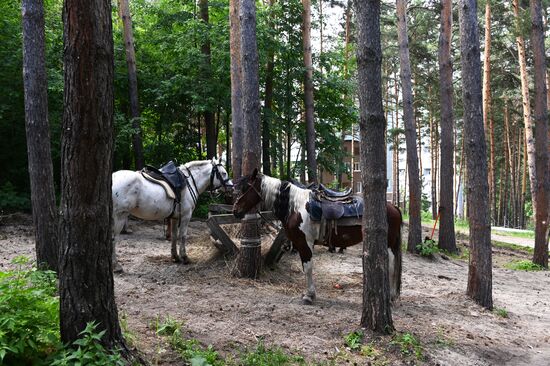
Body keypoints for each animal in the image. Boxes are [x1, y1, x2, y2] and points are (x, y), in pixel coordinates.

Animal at [233, 169, 406, 306]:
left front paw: (309, 296)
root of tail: (393, 207)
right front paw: (308, 293)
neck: (295, 207)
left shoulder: (305, 243)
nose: (235, 210)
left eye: (246, 188)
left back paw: (391, 297)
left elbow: (308, 268)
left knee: (391, 265)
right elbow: (305, 268)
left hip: (389, 244)